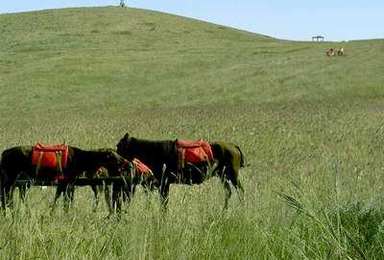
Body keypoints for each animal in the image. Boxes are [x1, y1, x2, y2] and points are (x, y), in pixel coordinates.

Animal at [0, 144, 130, 213]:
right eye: (112, 155)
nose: (126, 162)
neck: (80, 158)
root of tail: (4, 153)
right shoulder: (67, 183)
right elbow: (64, 201)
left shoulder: (66, 183)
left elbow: (62, 199)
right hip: (11, 180)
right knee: (6, 197)